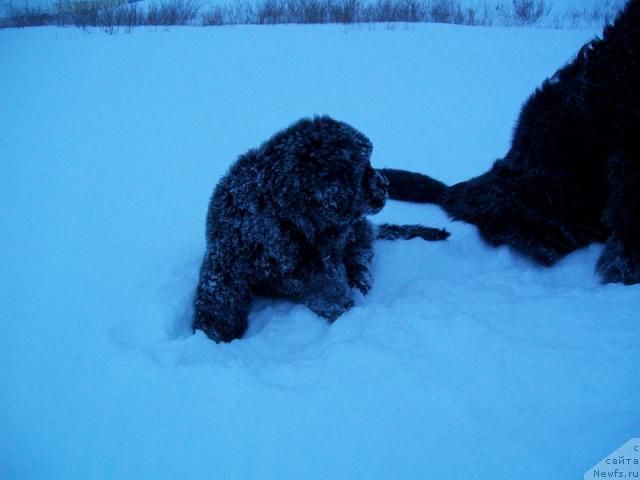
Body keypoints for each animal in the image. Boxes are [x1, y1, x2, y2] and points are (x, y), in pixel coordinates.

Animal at [192, 116, 448, 342]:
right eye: (362, 169)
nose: (385, 184)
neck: (281, 217)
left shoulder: (324, 263)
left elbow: (330, 293)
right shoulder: (225, 258)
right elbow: (218, 293)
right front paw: (212, 333)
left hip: (354, 231)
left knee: (362, 250)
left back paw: (360, 276)